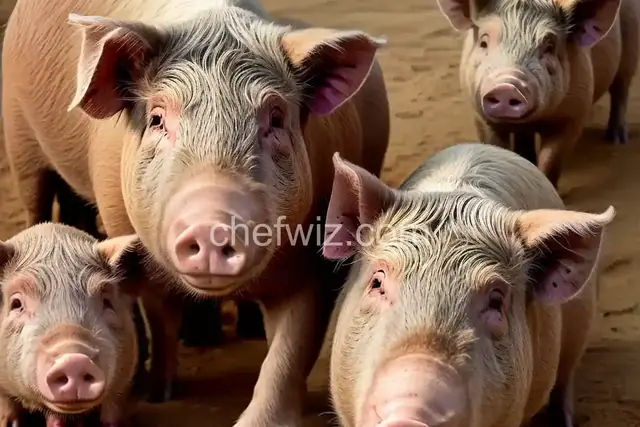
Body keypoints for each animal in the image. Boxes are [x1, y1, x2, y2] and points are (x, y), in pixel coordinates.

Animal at [0, 223, 159, 426]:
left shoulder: (123, 379)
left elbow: (113, 413)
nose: (74, 360)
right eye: (16, 303)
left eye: (106, 302)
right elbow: (8, 409)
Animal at [436, 0, 640, 188]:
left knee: (621, 88)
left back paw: (617, 139)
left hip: (631, 42)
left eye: (549, 47)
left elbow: (551, 161)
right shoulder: (481, 115)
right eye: (483, 42)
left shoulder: (572, 115)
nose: (506, 87)